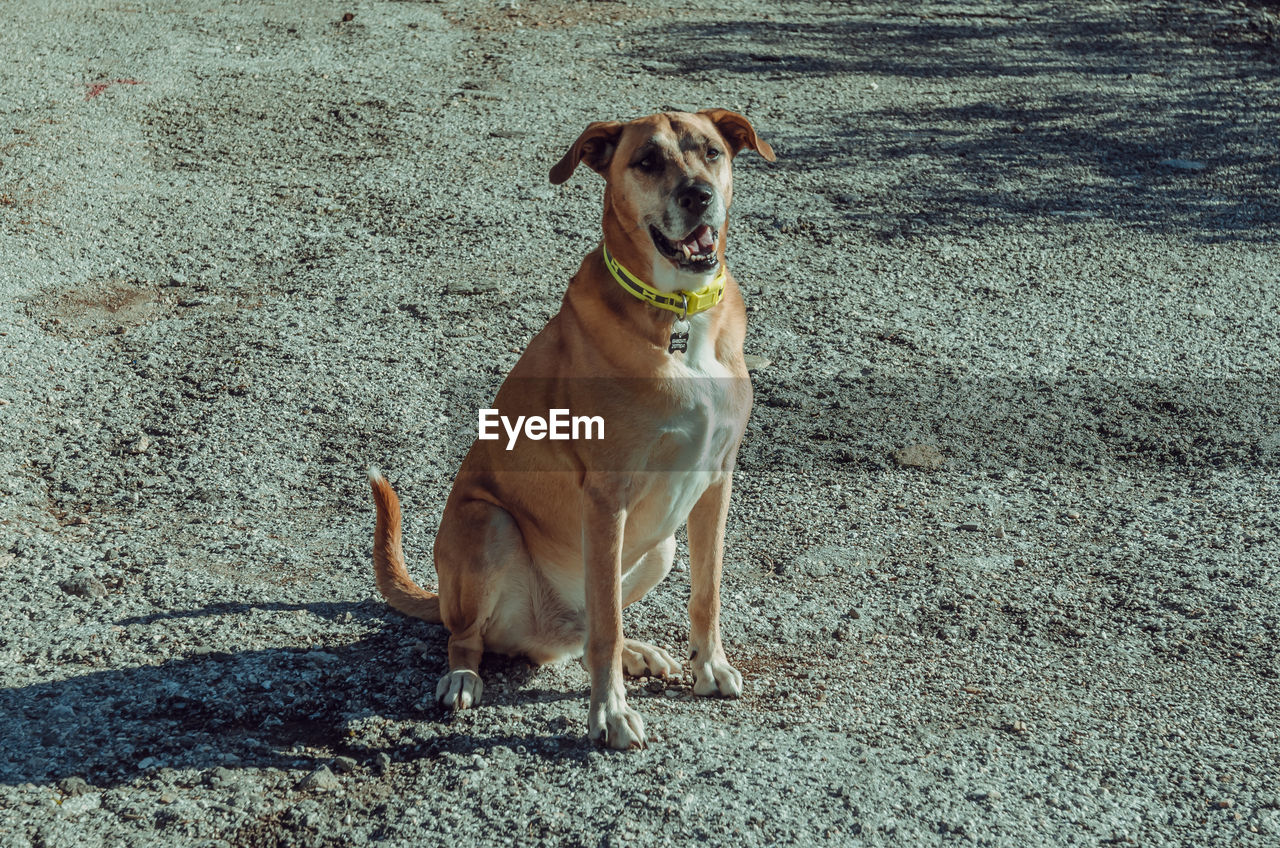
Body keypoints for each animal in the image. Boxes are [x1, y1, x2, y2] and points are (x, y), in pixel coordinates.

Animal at [366, 111, 773, 753]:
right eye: (647, 162)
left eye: (711, 152)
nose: (698, 196)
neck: (679, 316)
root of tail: (543, 634)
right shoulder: (607, 497)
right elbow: (606, 624)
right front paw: (609, 715)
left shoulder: (715, 480)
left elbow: (705, 593)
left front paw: (709, 667)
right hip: (488, 525)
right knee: (475, 637)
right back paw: (462, 678)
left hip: (661, 545)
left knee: (587, 634)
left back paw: (635, 652)